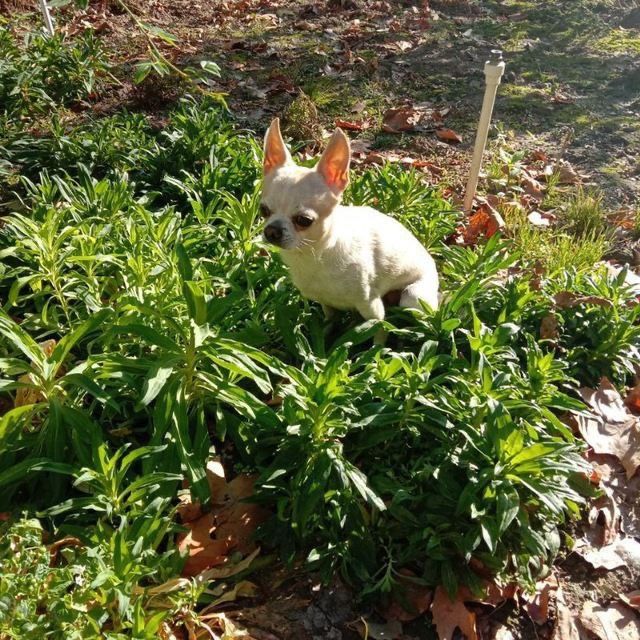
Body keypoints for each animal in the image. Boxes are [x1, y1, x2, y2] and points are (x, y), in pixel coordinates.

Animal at [262, 118, 440, 342]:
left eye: (304, 220)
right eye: (263, 210)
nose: (272, 231)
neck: (314, 255)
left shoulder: (372, 309)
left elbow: (379, 332)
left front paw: (377, 351)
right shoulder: (325, 302)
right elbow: (330, 320)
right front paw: (323, 337)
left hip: (413, 298)